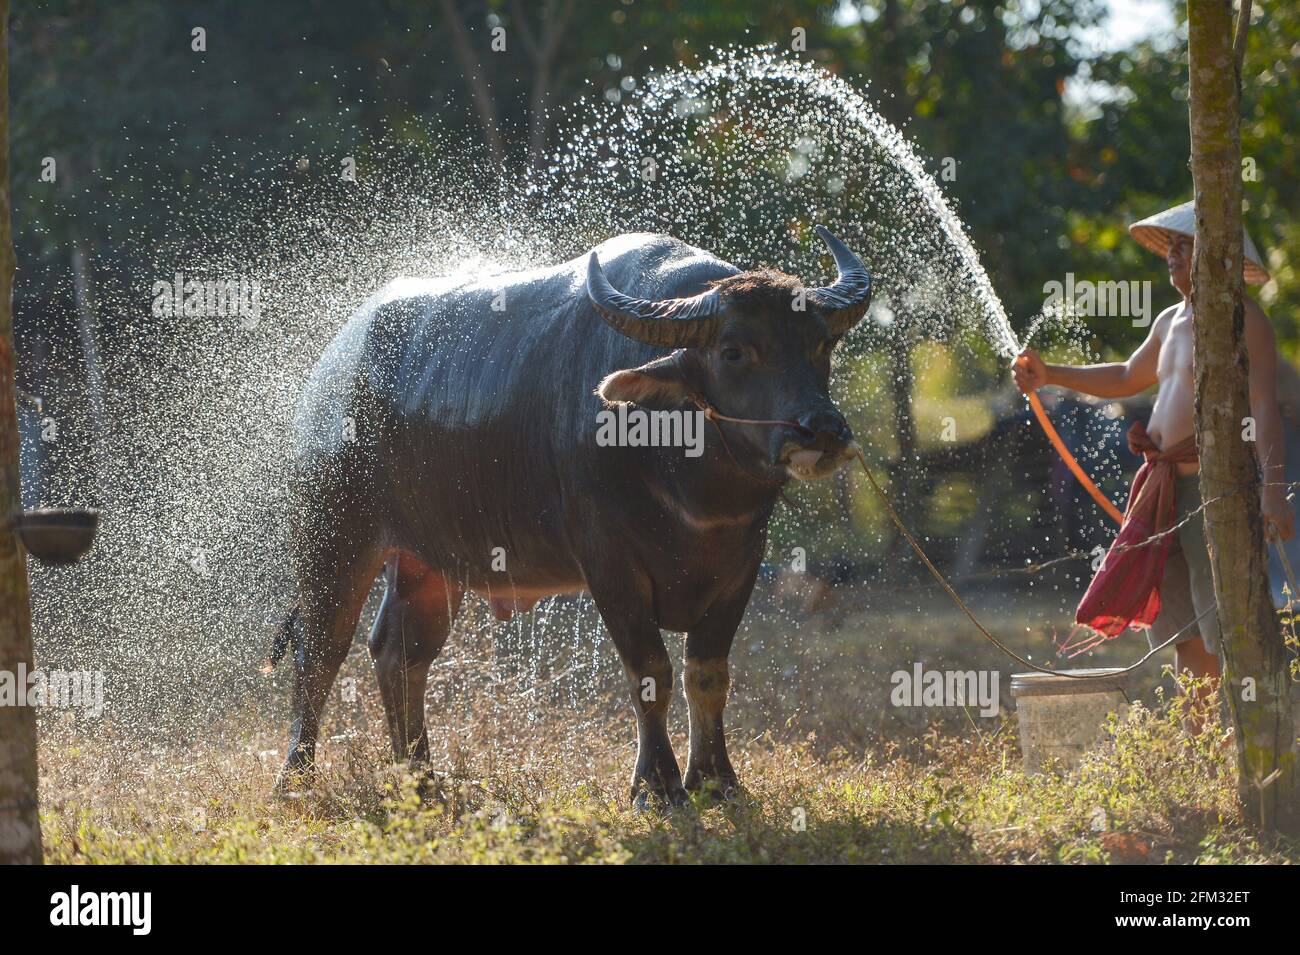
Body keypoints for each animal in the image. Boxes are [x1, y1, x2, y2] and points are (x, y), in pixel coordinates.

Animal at [269, 227, 868, 805]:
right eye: (734, 350)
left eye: (820, 343)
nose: (822, 429)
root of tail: (327, 377)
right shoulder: (610, 564)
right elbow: (651, 672)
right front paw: (657, 786)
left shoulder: (742, 563)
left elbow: (707, 675)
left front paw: (716, 780)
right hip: (332, 536)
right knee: (320, 651)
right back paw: (296, 778)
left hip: (429, 561)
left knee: (400, 650)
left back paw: (419, 778)